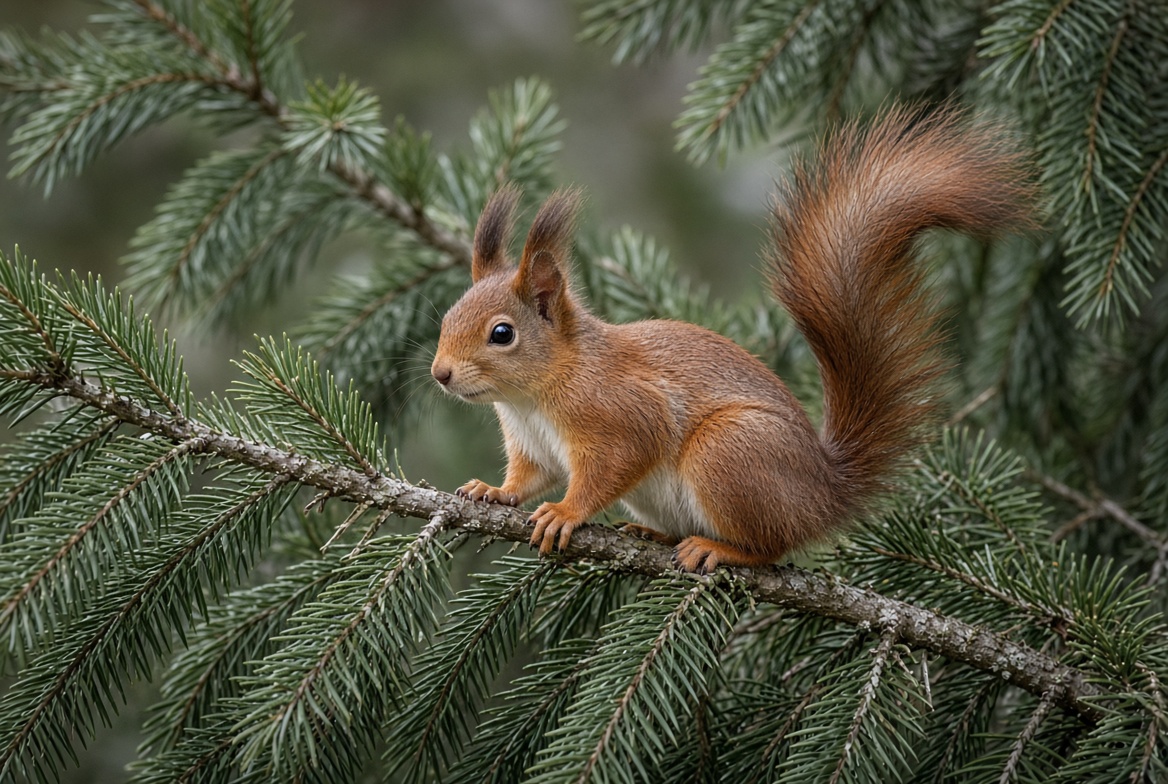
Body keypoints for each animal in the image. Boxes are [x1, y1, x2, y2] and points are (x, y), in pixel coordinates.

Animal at [430, 107, 1032, 573]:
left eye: (502, 334)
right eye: (445, 318)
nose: (440, 373)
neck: (533, 396)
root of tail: (824, 494)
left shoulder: (620, 414)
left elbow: (612, 465)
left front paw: (565, 513)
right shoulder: (531, 445)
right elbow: (531, 478)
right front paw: (492, 491)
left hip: (728, 452)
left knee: (772, 547)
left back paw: (717, 549)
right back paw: (655, 534)